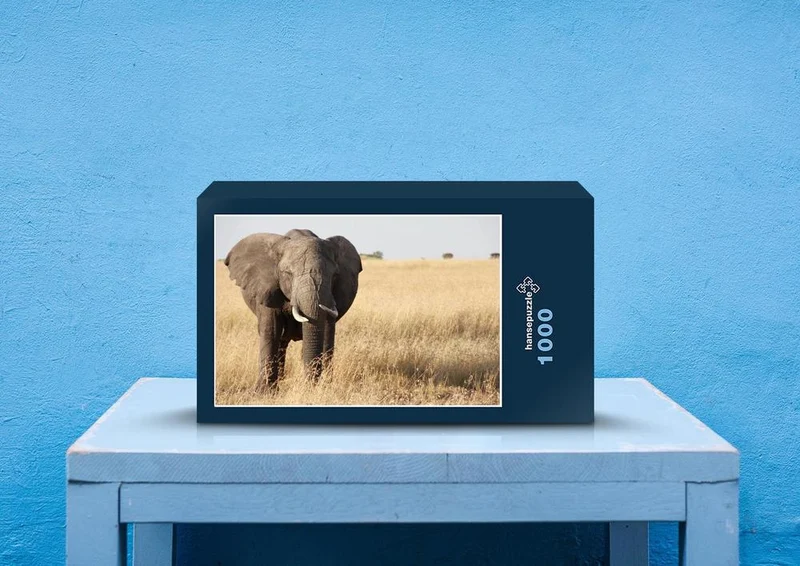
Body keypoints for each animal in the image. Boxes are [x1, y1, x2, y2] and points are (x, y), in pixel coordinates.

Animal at [224, 229, 362, 390]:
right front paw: (264, 392)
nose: (310, 385)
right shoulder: (266, 288)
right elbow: (271, 330)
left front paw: (324, 385)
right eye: (288, 274)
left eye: (335, 276)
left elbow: (328, 332)